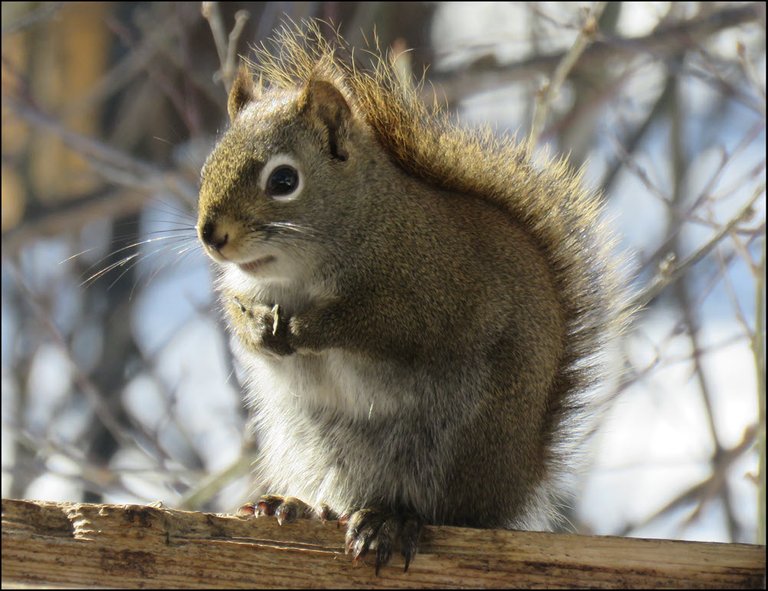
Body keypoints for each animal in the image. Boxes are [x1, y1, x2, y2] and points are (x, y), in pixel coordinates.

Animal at [196, 22, 624, 572]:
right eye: (207, 167)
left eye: (284, 180)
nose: (211, 236)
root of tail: (512, 488)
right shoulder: (241, 288)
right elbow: (239, 317)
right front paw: (257, 328)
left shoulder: (435, 287)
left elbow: (388, 325)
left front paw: (311, 327)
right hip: (313, 440)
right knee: (342, 495)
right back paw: (299, 506)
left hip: (458, 438)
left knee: (440, 509)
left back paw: (391, 520)